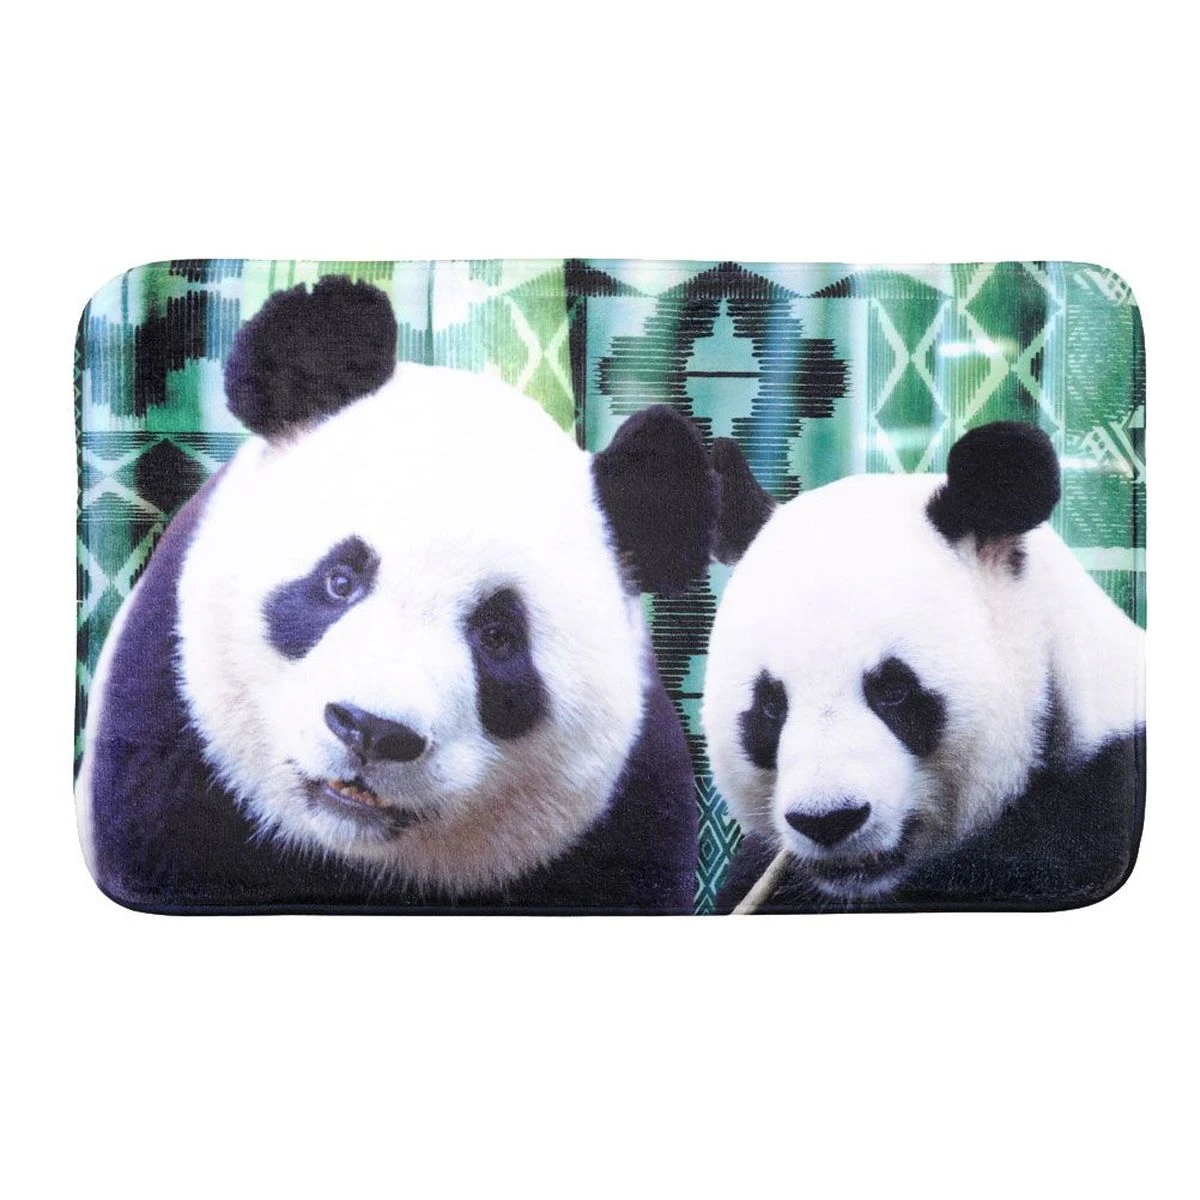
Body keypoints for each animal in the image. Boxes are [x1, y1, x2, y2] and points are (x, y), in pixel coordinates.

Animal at [76, 276, 719, 914]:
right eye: (340, 581)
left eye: (498, 637)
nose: (372, 730)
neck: (352, 854)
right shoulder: (169, 736)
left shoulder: (624, 814)